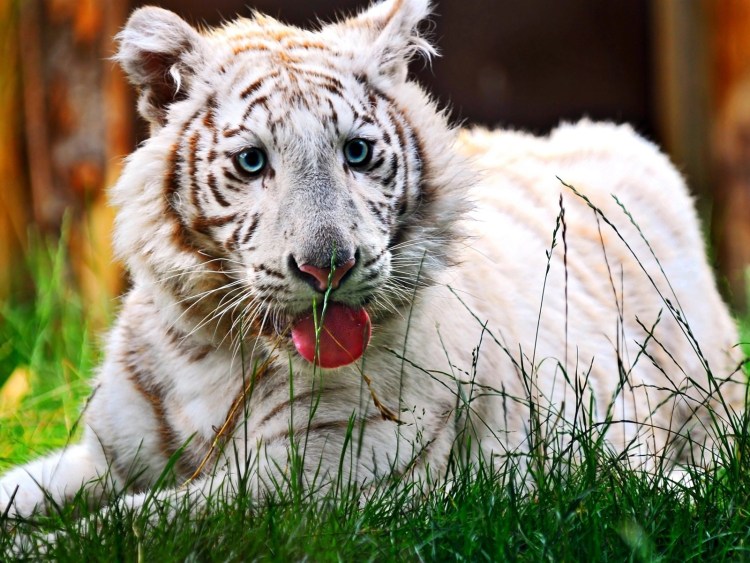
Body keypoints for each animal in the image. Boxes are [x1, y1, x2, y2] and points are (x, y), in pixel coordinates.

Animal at [0, 0, 746, 524]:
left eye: (356, 153)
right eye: (252, 162)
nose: (328, 265)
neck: (213, 351)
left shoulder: (307, 480)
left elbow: (129, 525)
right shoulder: (104, 456)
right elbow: (29, 491)